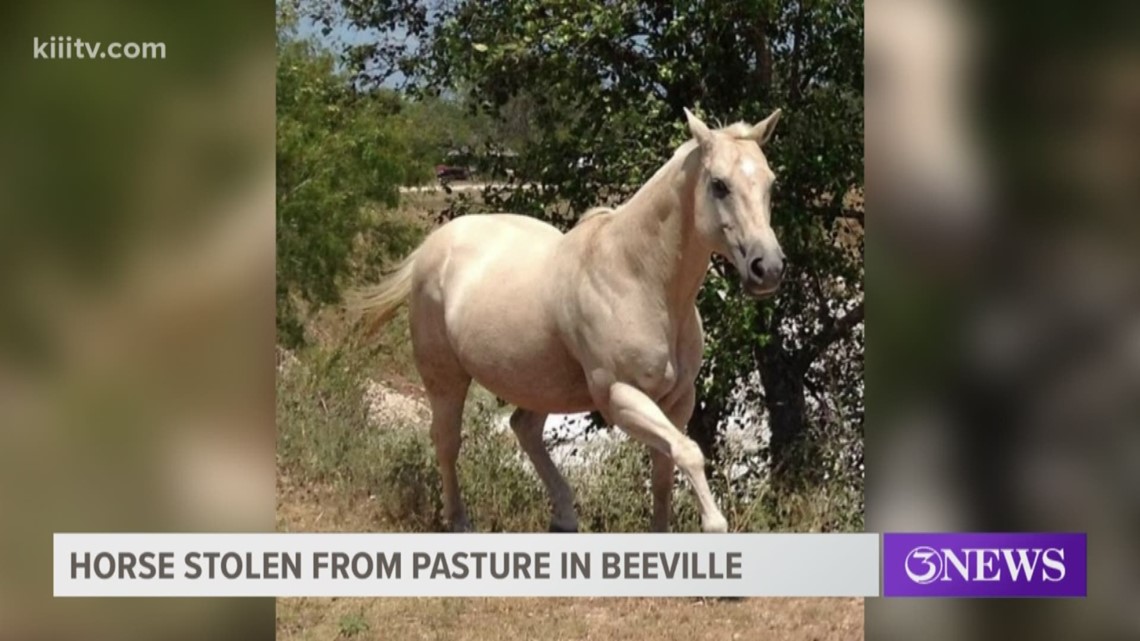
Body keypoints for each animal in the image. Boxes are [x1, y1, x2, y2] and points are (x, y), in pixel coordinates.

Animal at [350, 108, 785, 533]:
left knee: (523, 428)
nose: (768, 268)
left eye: (770, 182)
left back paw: (562, 518)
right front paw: (714, 522)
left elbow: (664, 475)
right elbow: (689, 454)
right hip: (445, 380)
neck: (639, 277)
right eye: (719, 185)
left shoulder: (678, 401)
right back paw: (460, 522)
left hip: (540, 384)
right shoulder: (620, 398)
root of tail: (432, 246)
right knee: (447, 442)